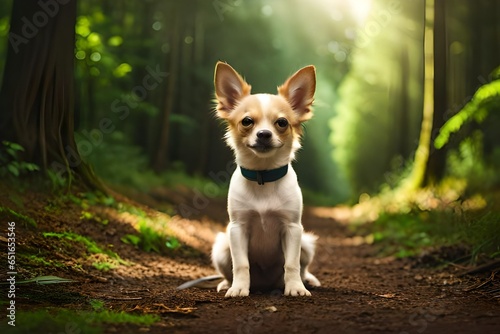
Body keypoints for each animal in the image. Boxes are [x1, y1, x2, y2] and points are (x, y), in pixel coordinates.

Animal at [178, 61, 322, 296]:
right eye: (247, 121)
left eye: (282, 123)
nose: (264, 134)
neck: (262, 177)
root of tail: (264, 285)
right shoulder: (237, 229)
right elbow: (241, 264)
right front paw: (238, 288)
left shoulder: (293, 229)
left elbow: (292, 264)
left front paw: (295, 288)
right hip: (221, 246)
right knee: (229, 271)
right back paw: (227, 284)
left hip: (306, 243)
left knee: (302, 267)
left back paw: (306, 280)